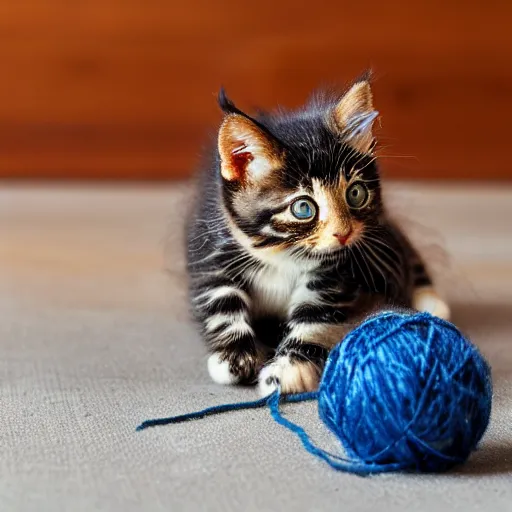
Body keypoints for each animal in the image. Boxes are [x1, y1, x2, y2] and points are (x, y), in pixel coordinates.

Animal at [186, 76, 450, 396]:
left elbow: (315, 317)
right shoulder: (209, 249)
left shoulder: (334, 274)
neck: (282, 254)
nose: (344, 233)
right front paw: (233, 356)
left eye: (356, 194)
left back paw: (431, 304)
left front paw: (287, 370)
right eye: (303, 208)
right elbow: (219, 300)